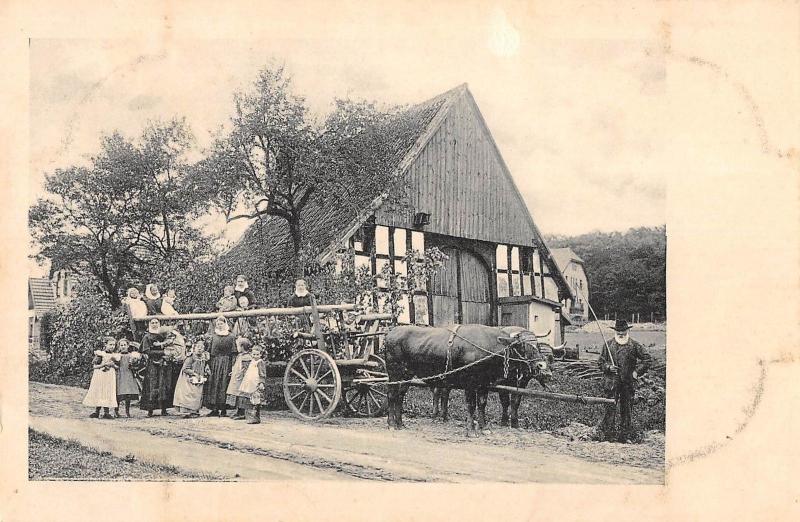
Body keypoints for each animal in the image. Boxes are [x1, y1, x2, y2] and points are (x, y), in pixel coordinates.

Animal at [384, 324, 552, 434]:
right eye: (521, 346)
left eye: (537, 345)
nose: (542, 365)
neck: (488, 349)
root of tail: (390, 333)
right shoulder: (469, 383)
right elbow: (471, 404)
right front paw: (471, 429)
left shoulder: (484, 384)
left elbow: (482, 404)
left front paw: (484, 428)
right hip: (394, 372)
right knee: (391, 394)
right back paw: (391, 424)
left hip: (407, 375)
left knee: (400, 395)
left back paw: (400, 423)